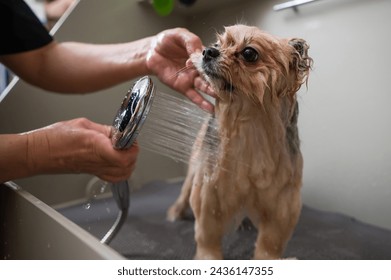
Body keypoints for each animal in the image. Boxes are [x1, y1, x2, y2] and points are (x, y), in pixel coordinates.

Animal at [167, 25, 314, 260]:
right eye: (217, 45)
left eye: (249, 53)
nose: (208, 51)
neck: (250, 126)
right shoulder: (210, 188)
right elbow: (207, 230)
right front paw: (208, 256)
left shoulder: (283, 200)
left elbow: (271, 240)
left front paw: (268, 258)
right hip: (193, 166)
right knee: (184, 191)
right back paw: (175, 211)